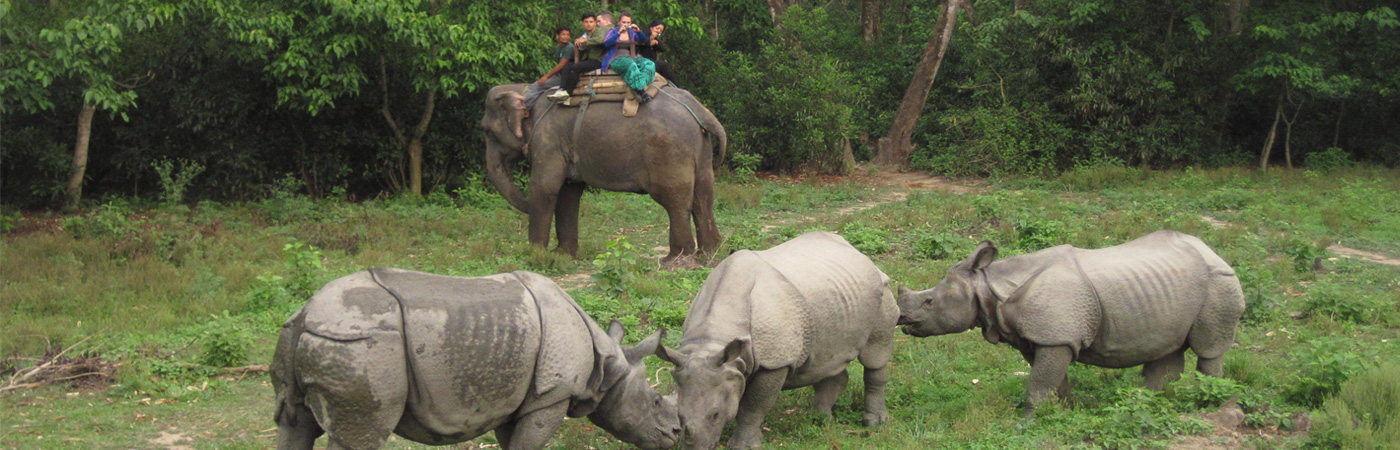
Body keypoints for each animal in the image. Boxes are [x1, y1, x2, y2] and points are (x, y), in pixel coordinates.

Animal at [481, 82, 728, 260]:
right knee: (703, 197)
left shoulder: (548, 140)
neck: (525, 89)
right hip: (700, 149)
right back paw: (709, 254)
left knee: (674, 200)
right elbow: (569, 193)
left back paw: (674, 261)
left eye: (486, 131)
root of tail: (702, 112)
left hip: (668, 151)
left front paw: (535, 257)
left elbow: (545, 188)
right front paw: (563, 256)